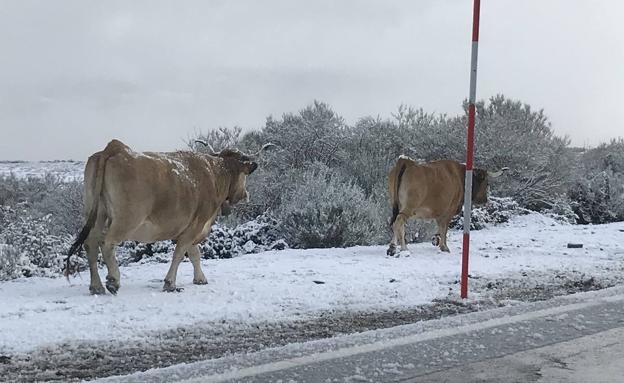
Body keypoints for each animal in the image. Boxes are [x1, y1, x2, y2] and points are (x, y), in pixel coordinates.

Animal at [66, 140, 270, 296]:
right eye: (245, 174)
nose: (245, 195)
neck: (215, 173)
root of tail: (115, 147)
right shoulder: (196, 224)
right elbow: (180, 253)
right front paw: (170, 283)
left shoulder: (191, 228)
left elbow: (194, 254)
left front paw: (200, 278)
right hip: (126, 219)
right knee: (107, 243)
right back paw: (113, 281)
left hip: (96, 214)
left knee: (91, 244)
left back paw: (96, 286)